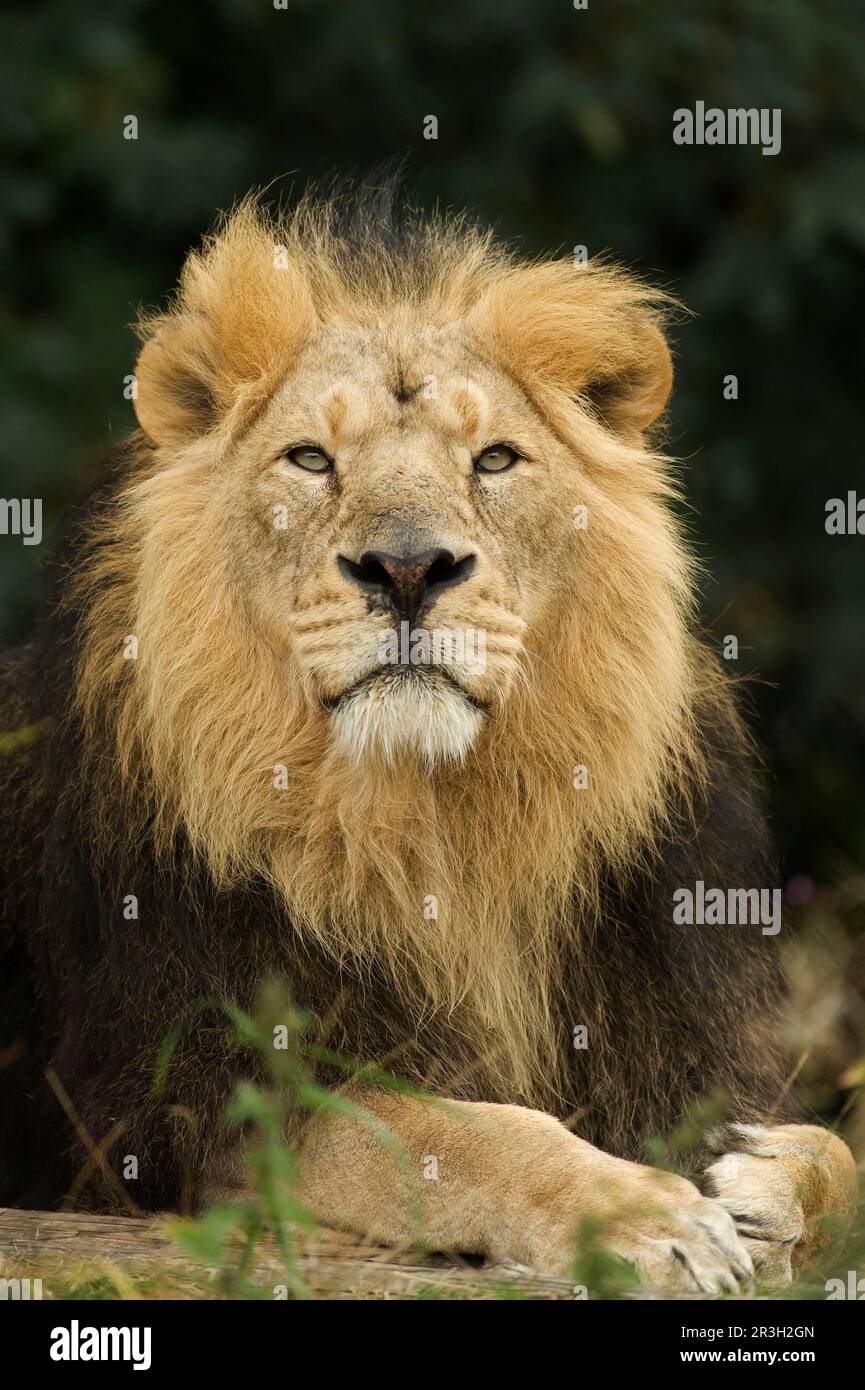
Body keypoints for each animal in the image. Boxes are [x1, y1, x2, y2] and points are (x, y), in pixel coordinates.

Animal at [0, 184, 856, 1289]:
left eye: (493, 458)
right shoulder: (199, 1105)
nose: (408, 569)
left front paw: (764, 1187)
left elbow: (840, 1157)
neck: (437, 832)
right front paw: (644, 1217)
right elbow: (463, 1132)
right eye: (310, 458)